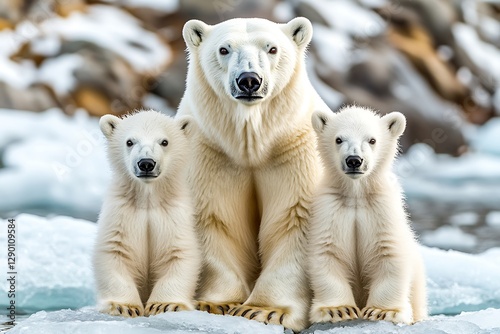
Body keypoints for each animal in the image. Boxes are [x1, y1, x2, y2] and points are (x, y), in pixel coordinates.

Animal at [94, 110, 201, 318]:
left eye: (164, 141)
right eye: (129, 141)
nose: (146, 163)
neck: (148, 200)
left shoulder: (173, 216)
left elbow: (178, 253)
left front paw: (165, 305)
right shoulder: (121, 213)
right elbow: (115, 250)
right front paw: (123, 306)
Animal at [178, 17, 330, 328]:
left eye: (272, 48)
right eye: (224, 49)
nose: (249, 80)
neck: (251, 144)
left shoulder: (293, 149)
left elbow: (294, 216)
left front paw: (266, 310)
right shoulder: (211, 151)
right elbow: (216, 217)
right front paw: (215, 303)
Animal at [308, 106, 426, 324]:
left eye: (372, 140)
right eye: (339, 139)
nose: (354, 160)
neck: (356, 194)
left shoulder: (381, 209)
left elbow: (390, 252)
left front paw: (384, 311)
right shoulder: (330, 208)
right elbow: (327, 252)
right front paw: (337, 310)